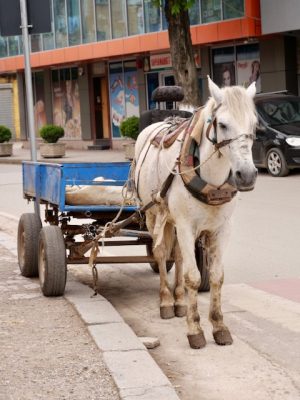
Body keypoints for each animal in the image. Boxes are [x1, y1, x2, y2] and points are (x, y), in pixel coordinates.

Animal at [135, 77, 256, 346]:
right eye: (222, 124)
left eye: (254, 124)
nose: (247, 175)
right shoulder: (186, 226)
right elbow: (193, 276)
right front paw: (195, 329)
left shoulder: (222, 229)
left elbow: (216, 276)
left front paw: (219, 326)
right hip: (154, 214)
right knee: (161, 253)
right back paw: (166, 301)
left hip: (173, 221)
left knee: (178, 255)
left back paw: (179, 299)